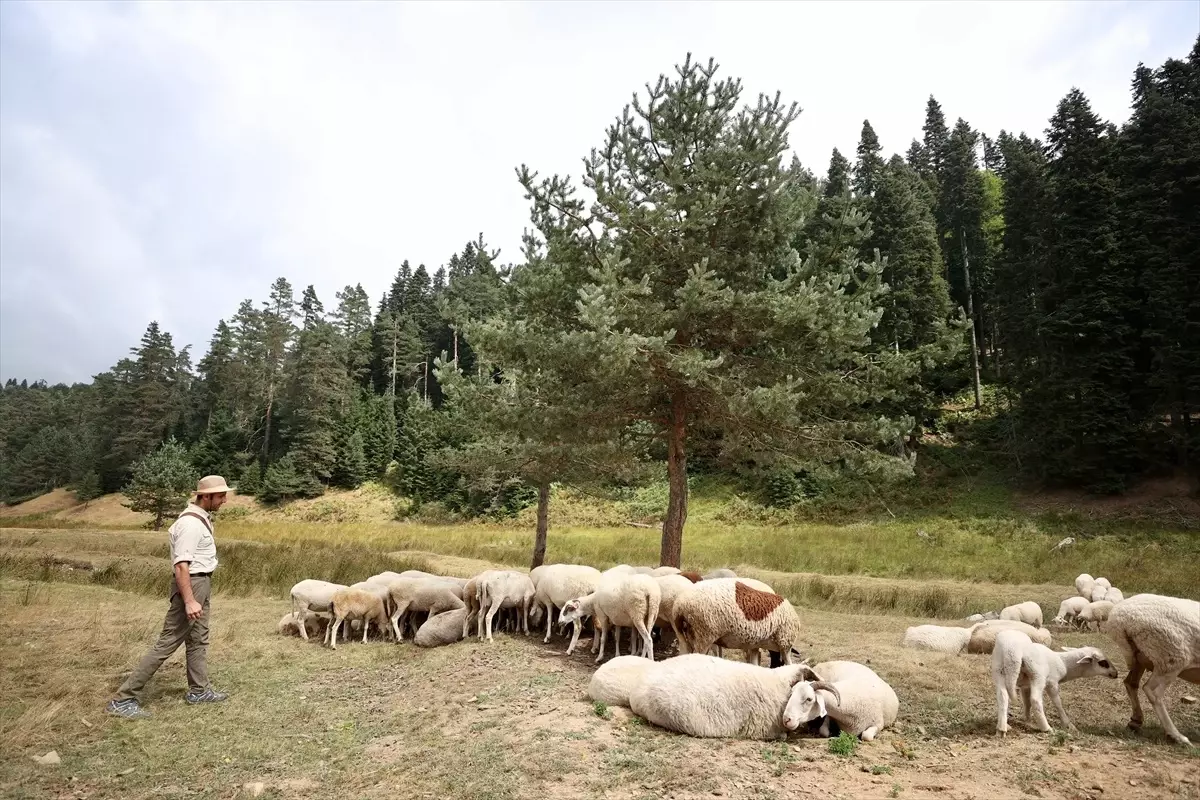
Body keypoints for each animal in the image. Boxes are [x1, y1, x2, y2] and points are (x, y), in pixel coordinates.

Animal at [672, 578, 801, 666]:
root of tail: (681, 604)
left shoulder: (755, 645)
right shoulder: (785, 644)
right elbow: (789, 664)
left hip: (684, 635)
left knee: (684, 654)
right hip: (704, 635)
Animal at [988, 628, 1118, 734]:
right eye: (1103, 663)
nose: (1116, 674)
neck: (1063, 662)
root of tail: (1011, 651)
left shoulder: (1026, 686)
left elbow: (1026, 702)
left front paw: (1027, 721)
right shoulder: (1052, 683)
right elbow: (1057, 703)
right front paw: (1068, 725)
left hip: (999, 671)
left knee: (1003, 696)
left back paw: (1002, 728)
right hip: (1038, 675)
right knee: (1035, 700)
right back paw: (1047, 728)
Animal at [1104, 592, 1200, 748]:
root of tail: (1120, 619)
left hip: (1141, 658)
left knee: (1131, 683)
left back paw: (1136, 721)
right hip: (1171, 658)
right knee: (1152, 690)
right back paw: (1177, 736)